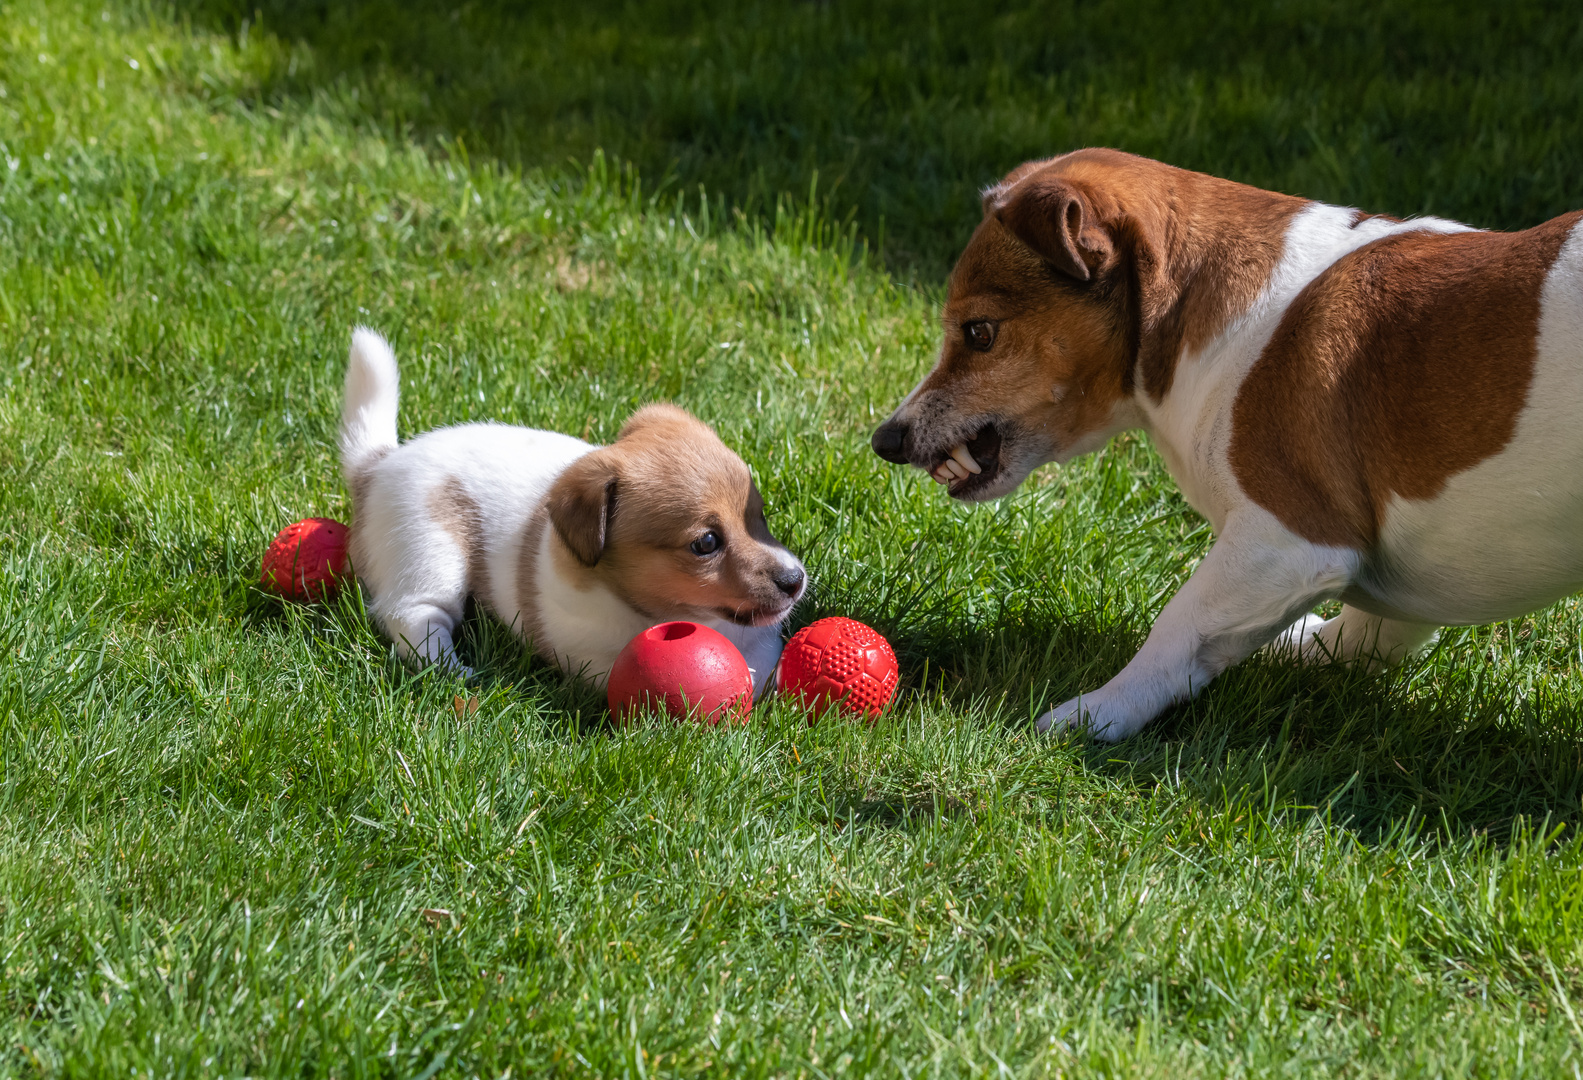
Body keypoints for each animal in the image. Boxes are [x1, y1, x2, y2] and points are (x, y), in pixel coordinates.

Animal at [338, 324, 797, 690]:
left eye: (758, 516)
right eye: (705, 543)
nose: (796, 581)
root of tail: (378, 464)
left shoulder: (764, 639)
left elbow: (763, 660)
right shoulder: (592, 659)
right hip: (428, 554)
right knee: (412, 618)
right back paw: (454, 670)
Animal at [873, 147, 1583, 741]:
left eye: (979, 332)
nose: (885, 440)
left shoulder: (1288, 539)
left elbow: (1177, 627)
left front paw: (1095, 714)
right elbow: (1370, 630)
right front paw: (1305, 644)